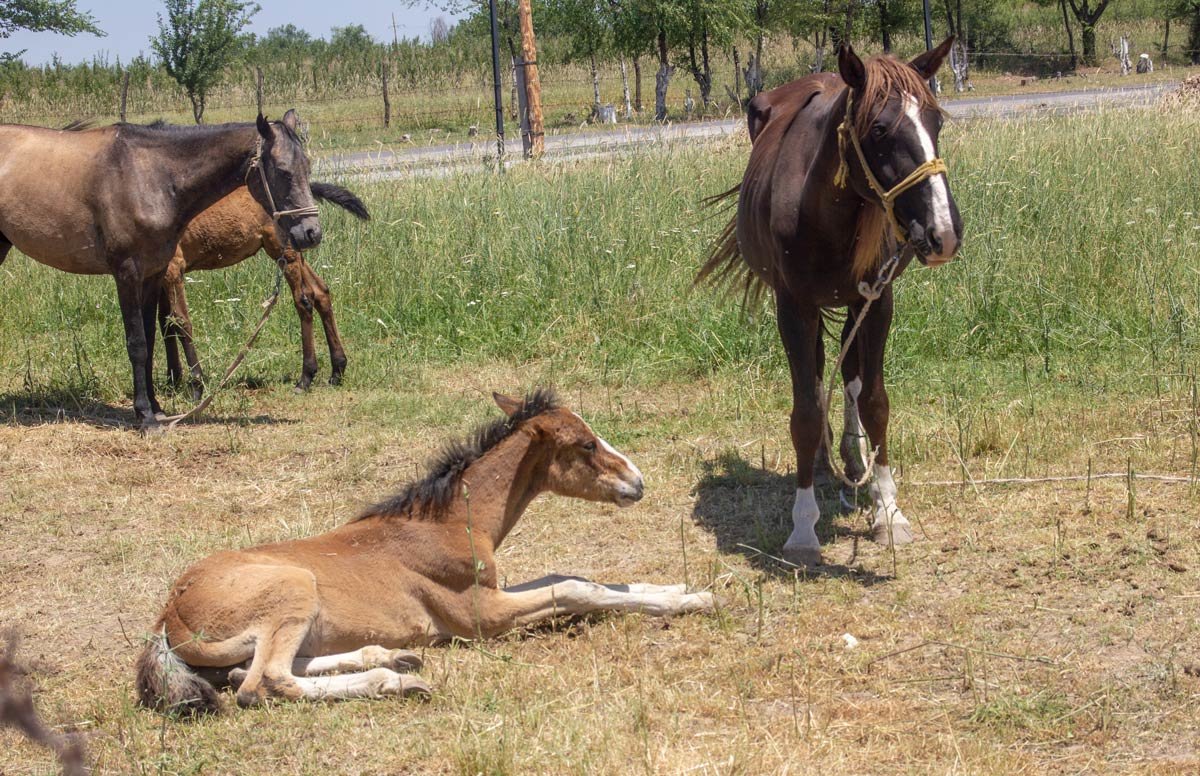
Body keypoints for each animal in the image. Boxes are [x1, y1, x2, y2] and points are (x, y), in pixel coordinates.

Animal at [0, 110, 319, 431]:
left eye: (307, 167)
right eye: (283, 171)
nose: (311, 233)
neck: (151, 176)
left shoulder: (154, 273)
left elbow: (152, 338)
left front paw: (156, 407)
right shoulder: (127, 273)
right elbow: (138, 343)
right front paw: (144, 415)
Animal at [138, 390, 710, 719]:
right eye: (587, 444)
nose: (638, 482)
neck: (449, 522)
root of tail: (168, 613)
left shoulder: (493, 591)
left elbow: (568, 574)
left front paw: (683, 589)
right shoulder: (481, 615)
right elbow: (575, 587)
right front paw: (693, 600)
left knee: (250, 672)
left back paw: (390, 655)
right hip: (293, 589)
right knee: (262, 684)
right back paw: (399, 680)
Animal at [158, 183, 369, 400]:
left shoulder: (173, 268)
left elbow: (181, 321)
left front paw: (196, 387)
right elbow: (166, 324)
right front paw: (172, 381)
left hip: (283, 251)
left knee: (304, 300)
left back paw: (305, 378)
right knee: (321, 292)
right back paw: (337, 370)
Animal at [700, 41, 964, 563]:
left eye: (935, 121)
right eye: (879, 129)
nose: (943, 232)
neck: (823, 212)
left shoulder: (877, 301)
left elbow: (875, 400)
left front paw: (888, 509)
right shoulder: (794, 307)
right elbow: (804, 411)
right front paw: (804, 527)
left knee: (850, 375)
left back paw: (852, 460)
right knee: (824, 370)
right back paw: (825, 461)